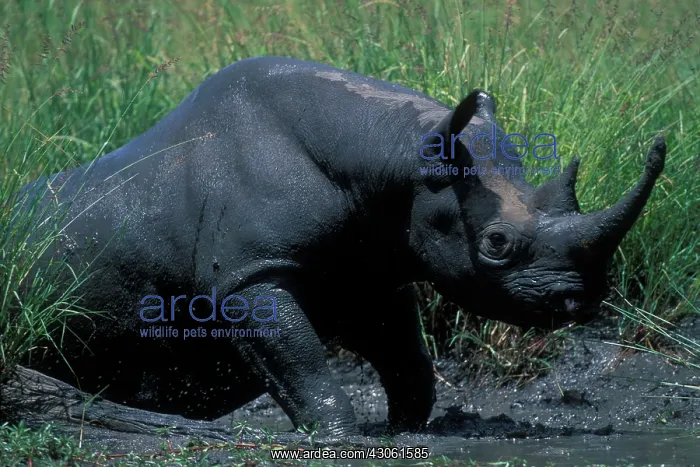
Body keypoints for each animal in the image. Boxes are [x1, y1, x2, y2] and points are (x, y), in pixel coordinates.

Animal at [14, 56, 666, 437]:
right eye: (497, 243)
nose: (576, 302)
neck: (394, 153)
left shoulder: (373, 265)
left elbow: (405, 357)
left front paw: (405, 430)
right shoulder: (248, 275)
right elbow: (301, 364)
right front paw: (336, 436)